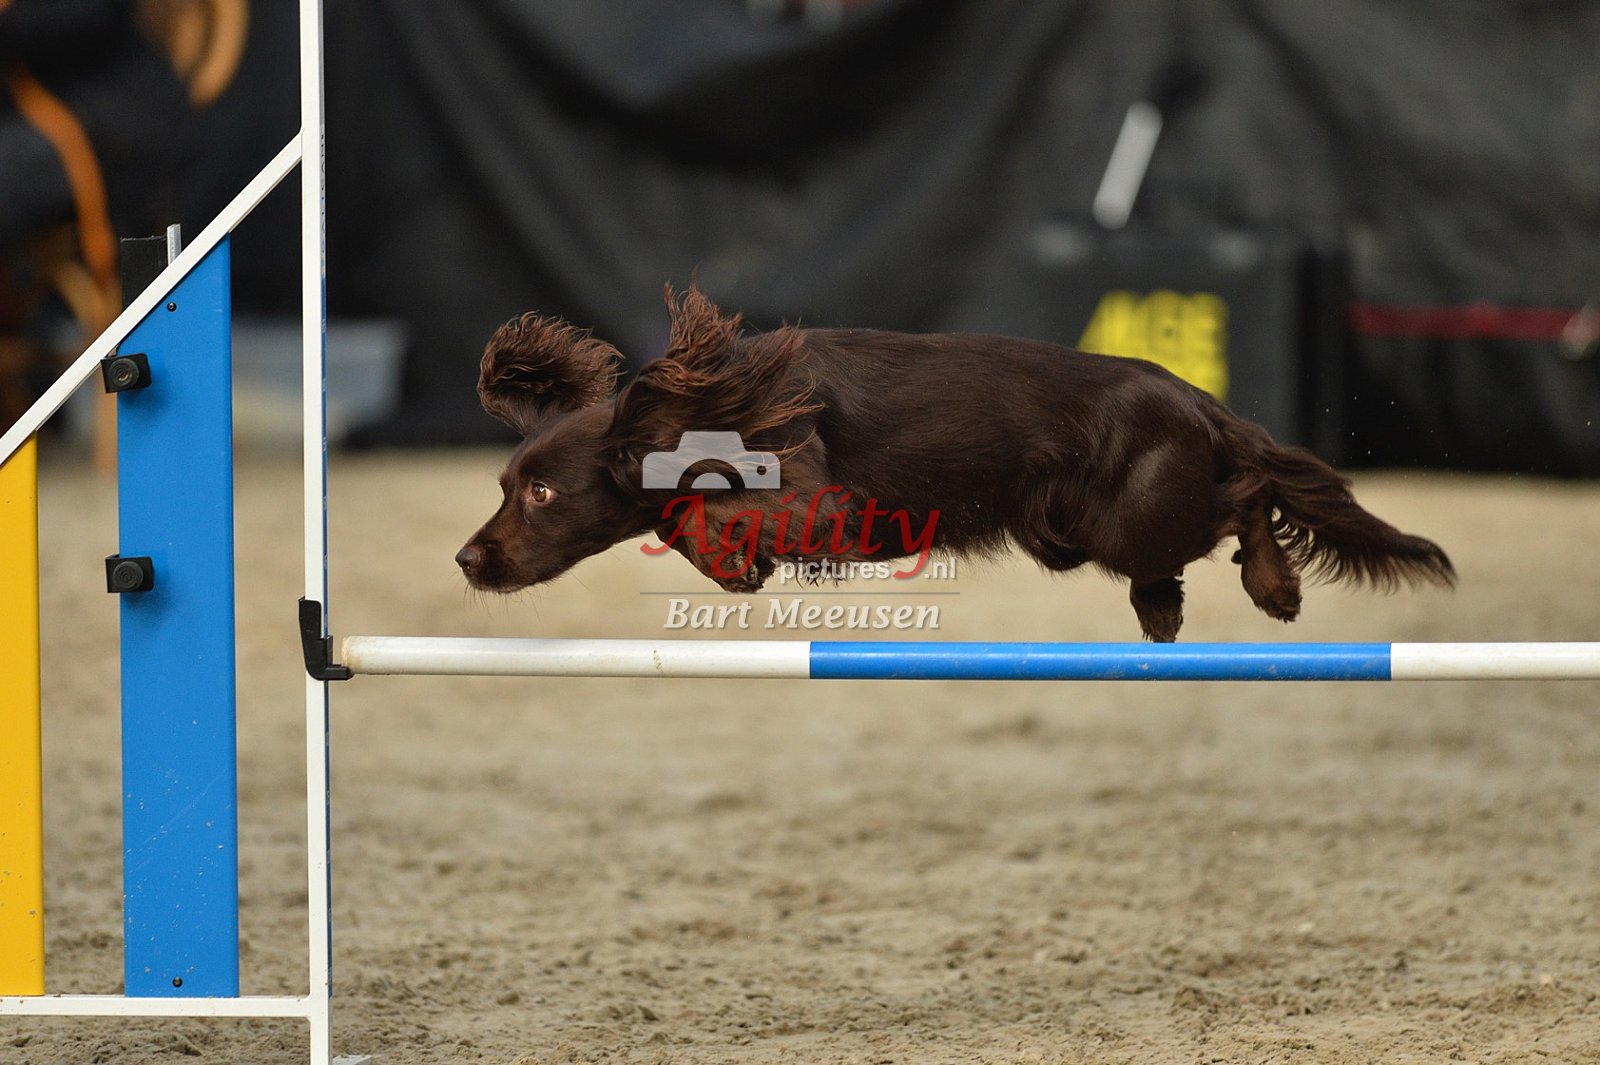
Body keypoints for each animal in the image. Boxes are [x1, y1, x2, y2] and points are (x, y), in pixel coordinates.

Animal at [456, 284, 1454, 641]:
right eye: (505, 485)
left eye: (540, 491)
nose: (467, 559)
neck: (706, 408)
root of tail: (1193, 396)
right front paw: (735, 566)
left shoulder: (823, 500)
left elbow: (699, 514)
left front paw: (731, 560)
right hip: (1074, 531)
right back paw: (1161, 605)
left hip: (1125, 514)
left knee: (1248, 491)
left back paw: (1272, 584)